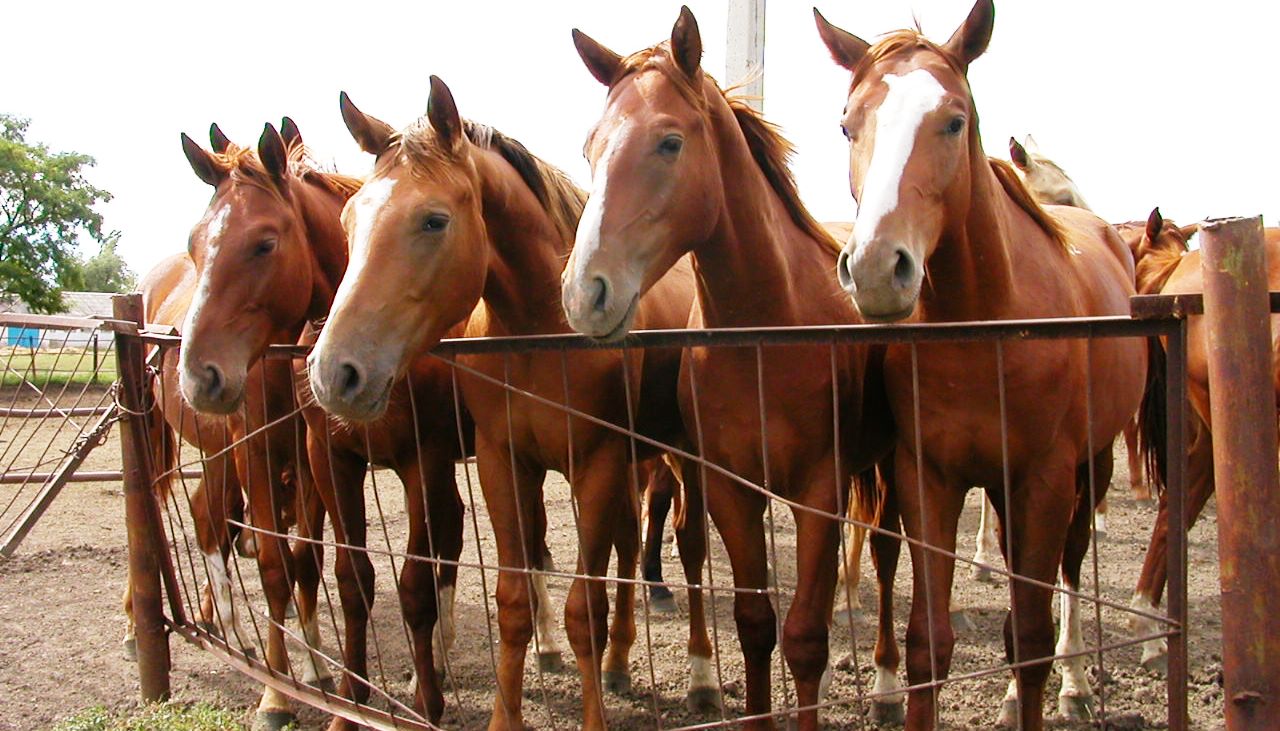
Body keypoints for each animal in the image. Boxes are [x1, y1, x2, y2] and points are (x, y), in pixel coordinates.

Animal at [175, 121, 481, 731]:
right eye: (196, 245)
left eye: (264, 243)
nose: (197, 376)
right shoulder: (326, 458)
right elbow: (340, 577)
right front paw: (333, 700)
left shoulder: (423, 459)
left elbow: (412, 585)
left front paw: (426, 705)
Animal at [308, 80, 711, 731]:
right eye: (349, 219)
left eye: (434, 220)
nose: (333, 372)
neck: (540, 332)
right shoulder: (504, 463)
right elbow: (515, 600)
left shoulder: (595, 464)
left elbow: (583, 609)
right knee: (629, 547)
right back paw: (621, 663)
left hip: (680, 456)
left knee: (691, 549)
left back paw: (702, 678)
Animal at [565, 10, 896, 727]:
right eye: (590, 148)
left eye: (669, 142)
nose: (583, 293)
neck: (768, 332)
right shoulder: (729, 489)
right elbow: (755, 624)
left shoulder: (821, 491)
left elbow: (805, 637)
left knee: (887, 555)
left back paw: (889, 683)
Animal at [819, 2, 1152, 727]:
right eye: (847, 123)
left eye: (953, 119)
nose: (877, 268)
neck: (986, 327)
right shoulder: (928, 477)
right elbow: (928, 642)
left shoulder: (1046, 479)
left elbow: (1028, 637)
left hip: (1089, 468)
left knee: (1070, 570)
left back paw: (1076, 683)